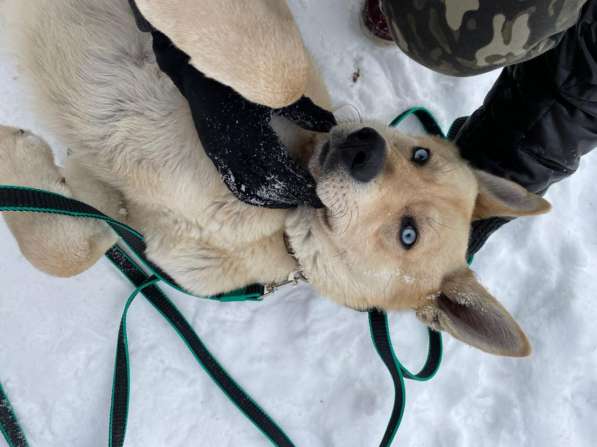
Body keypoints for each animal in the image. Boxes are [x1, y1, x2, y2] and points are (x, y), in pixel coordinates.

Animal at [0, 0, 548, 356]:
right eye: (420, 153)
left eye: (407, 234)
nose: (365, 148)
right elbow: (277, 75)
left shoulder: (119, 208)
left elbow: (71, 249)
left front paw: (15, 153)